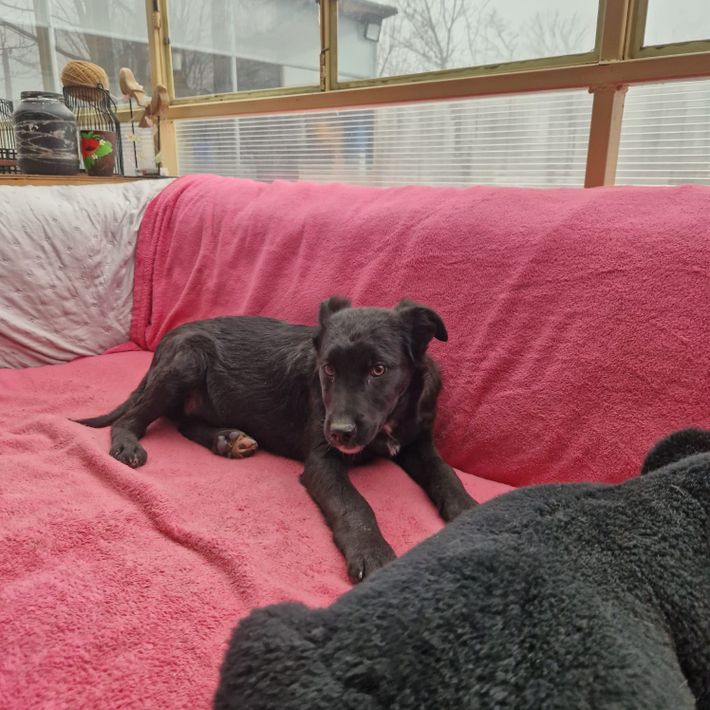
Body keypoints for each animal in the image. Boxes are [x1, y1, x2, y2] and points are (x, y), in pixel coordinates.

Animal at [78, 297, 476, 581]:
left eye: (379, 370)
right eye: (328, 369)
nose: (339, 432)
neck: (389, 421)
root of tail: (168, 338)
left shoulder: (418, 443)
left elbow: (446, 475)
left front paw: (471, 513)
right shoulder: (321, 458)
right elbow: (354, 504)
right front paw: (371, 551)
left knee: (185, 423)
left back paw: (228, 439)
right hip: (184, 364)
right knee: (132, 417)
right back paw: (127, 445)